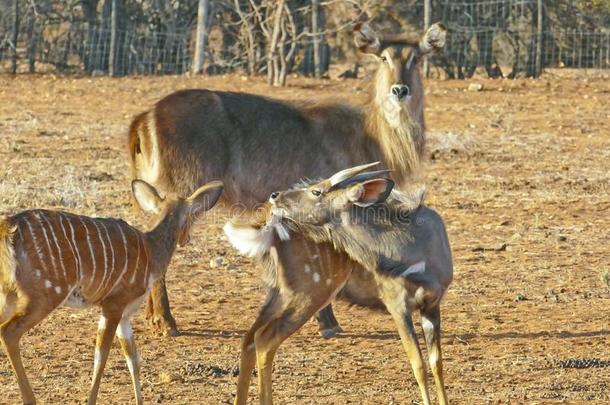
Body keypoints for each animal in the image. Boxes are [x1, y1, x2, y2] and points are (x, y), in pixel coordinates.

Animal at [0, 180, 223, 404]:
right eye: (192, 217)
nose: (186, 239)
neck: (151, 250)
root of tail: (8, 228)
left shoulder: (125, 315)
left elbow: (133, 358)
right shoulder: (114, 304)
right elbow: (102, 357)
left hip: (10, 295)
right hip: (45, 295)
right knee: (8, 332)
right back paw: (30, 398)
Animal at [127, 22, 446, 338]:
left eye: (416, 58)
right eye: (383, 58)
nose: (400, 90)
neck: (369, 135)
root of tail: (145, 117)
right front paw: (327, 322)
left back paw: (151, 316)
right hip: (183, 195)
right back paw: (166, 322)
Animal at [223, 163, 452, 404]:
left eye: (316, 191)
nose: (275, 195)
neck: (415, 247)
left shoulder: (432, 305)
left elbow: (436, 363)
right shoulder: (398, 306)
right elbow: (418, 365)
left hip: (280, 294)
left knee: (249, 339)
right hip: (309, 294)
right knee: (264, 339)